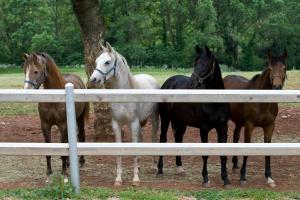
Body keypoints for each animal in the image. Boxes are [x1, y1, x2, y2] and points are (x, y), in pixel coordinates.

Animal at [22, 52, 89, 183]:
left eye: (36, 71)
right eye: (25, 70)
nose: (26, 91)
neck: (54, 97)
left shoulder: (62, 125)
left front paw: (64, 175)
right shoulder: (45, 125)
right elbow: (49, 148)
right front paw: (49, 174)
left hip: (79, 118)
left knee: (82, 135)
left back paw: (81, 162)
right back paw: (68, 163)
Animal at [89, 42, 159, 186]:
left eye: (107, 62)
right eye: (96, 61)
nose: (93, 79)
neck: (125, 94)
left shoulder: (133, 123)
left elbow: (134, 150)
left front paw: (136, 179)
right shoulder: (116, 124)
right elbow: (119, 150)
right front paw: (118, 179)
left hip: (154, 118)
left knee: (154, 138)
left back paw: (154, 166)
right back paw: (139, 166)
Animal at [158, 45, 231, 186]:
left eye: (205, 64)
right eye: (195, 63)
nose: (191, 84)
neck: (215, 102)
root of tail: (168, 82)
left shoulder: (223, 127)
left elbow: (223, 154)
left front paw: (225, 179)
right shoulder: (204, 129)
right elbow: (205, 154)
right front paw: (205, 178)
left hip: (181, 122)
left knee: (178, 139)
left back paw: (180, 168)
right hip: (165, 119)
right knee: (162, 139)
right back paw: (159, 169)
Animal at [224, 49, 288, 188]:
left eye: (284, 68)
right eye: (270, 68)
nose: (276, 87)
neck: (262, 101)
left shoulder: (270, 126)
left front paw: (269, 177)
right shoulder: (249, 125)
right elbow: (247, 147)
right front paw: (243, 177)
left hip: (239, 122)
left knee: (235, 137)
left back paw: (235, 165)